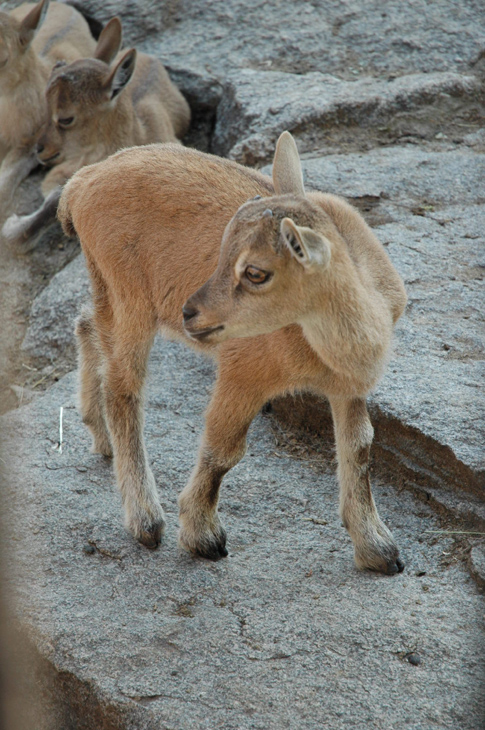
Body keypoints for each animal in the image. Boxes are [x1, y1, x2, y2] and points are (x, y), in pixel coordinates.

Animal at [57, 131, 408, 576]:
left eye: (255, 272)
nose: (190, 312)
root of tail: (80, 185)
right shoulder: (244, 372)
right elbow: (224, 450)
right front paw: (203, 537)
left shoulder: (348, 388)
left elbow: (360, 448)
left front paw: (379, 549)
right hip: (129, 295)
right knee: (123, 389)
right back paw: (146, 520)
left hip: (105, 286)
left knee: (86, 324)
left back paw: (100, 437)